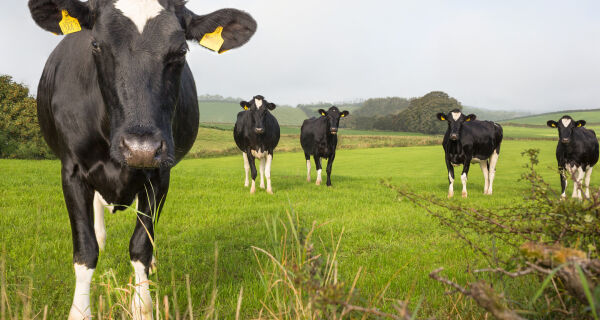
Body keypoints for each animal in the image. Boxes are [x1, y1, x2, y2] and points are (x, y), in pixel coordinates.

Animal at [27, 0, 255, 318]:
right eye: (96, 44)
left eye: (181, 51)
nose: (140, 148)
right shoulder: (72, 171)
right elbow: (86, 250)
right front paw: (80, 310)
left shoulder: (159, 175)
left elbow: (141, 246)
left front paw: (141, 305)